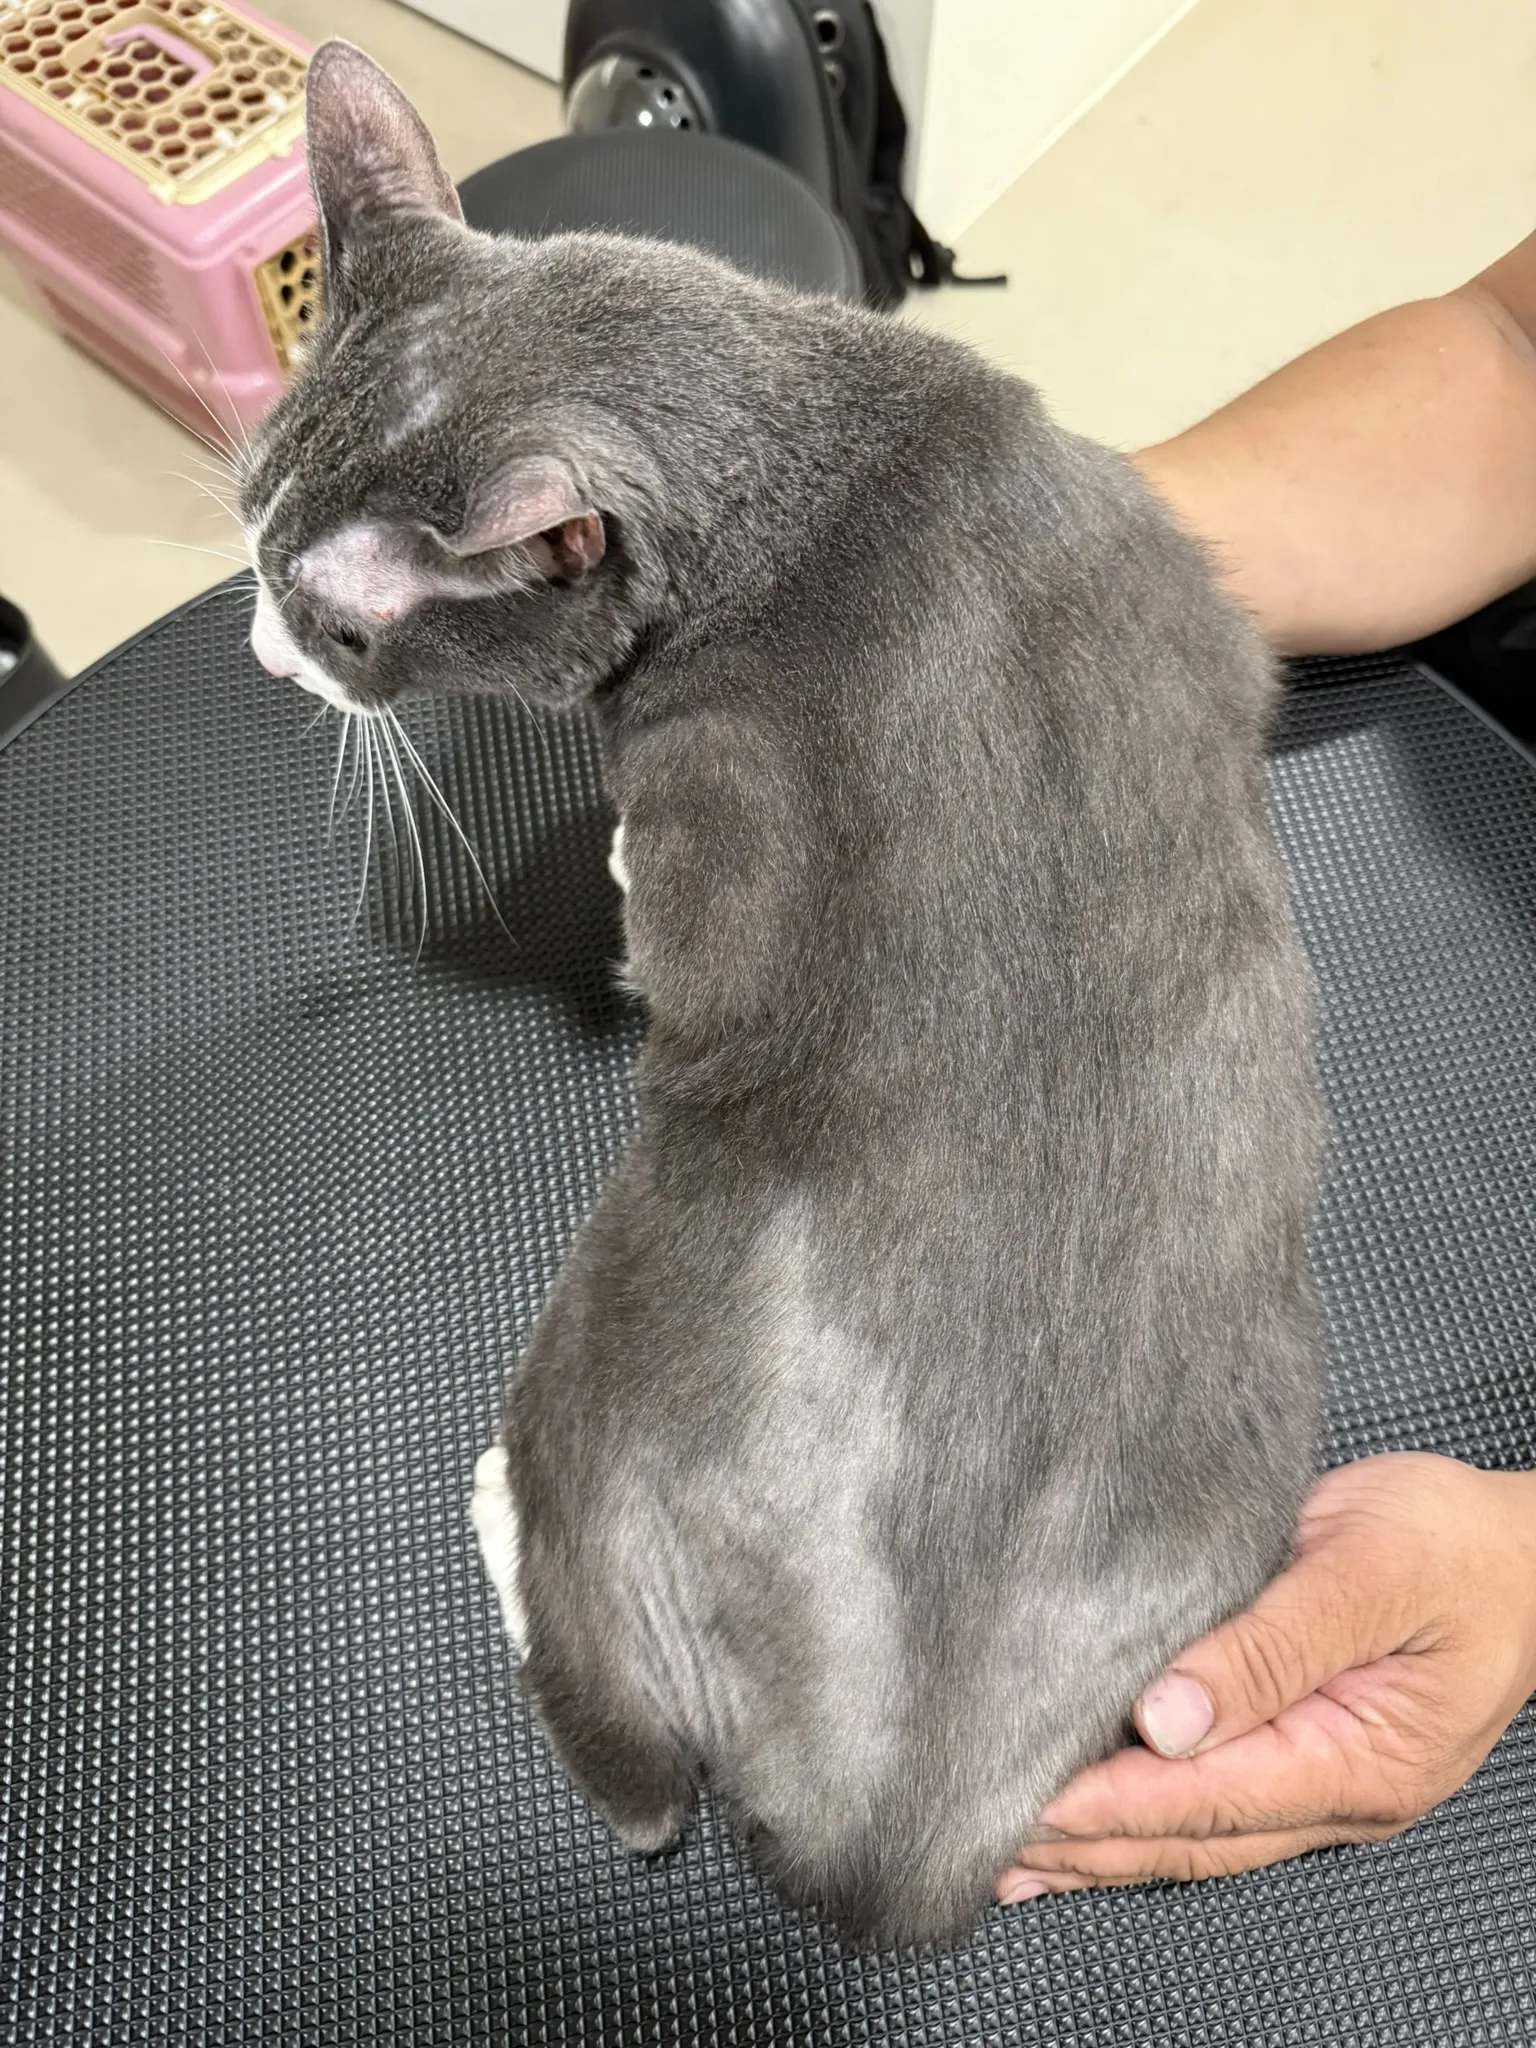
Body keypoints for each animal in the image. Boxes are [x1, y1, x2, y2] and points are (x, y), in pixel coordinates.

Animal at [241, 41, 1324, 1949]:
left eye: (346, 629)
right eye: (243, 524)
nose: (255, 644)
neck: (832, 477)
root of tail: (890, 1823)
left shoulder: (706, 814)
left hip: (592, 1386)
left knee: (634, 1783)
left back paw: (497, 1507)